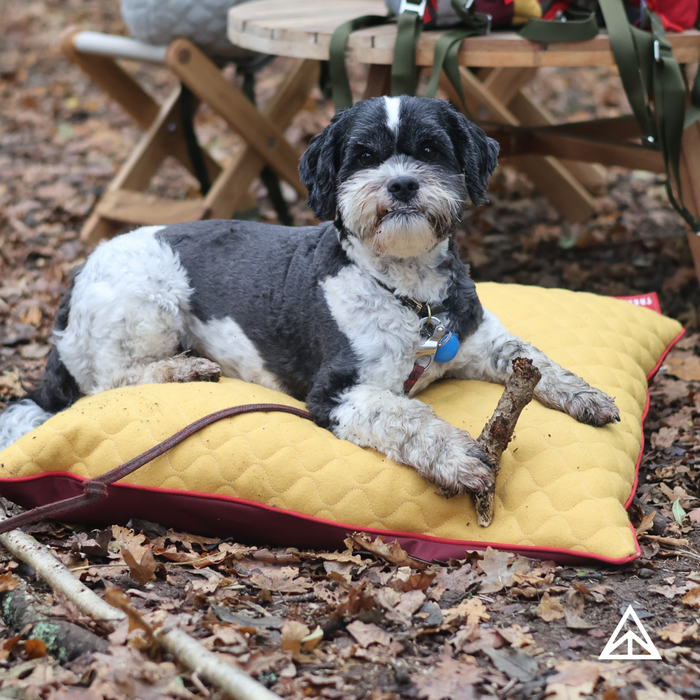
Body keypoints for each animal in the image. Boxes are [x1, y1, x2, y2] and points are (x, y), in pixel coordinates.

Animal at [0, 97, 616, 498]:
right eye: (363, 156)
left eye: (430, 149)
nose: (400, 184)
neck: (409, 295)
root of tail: (76, 282)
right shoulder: (336, 391)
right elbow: (404, 415)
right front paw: (459, 456)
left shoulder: (480, 339)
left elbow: (534, 360)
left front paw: (586, 396)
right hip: (150, 300)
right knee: (110, 380)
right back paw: (182, 369)